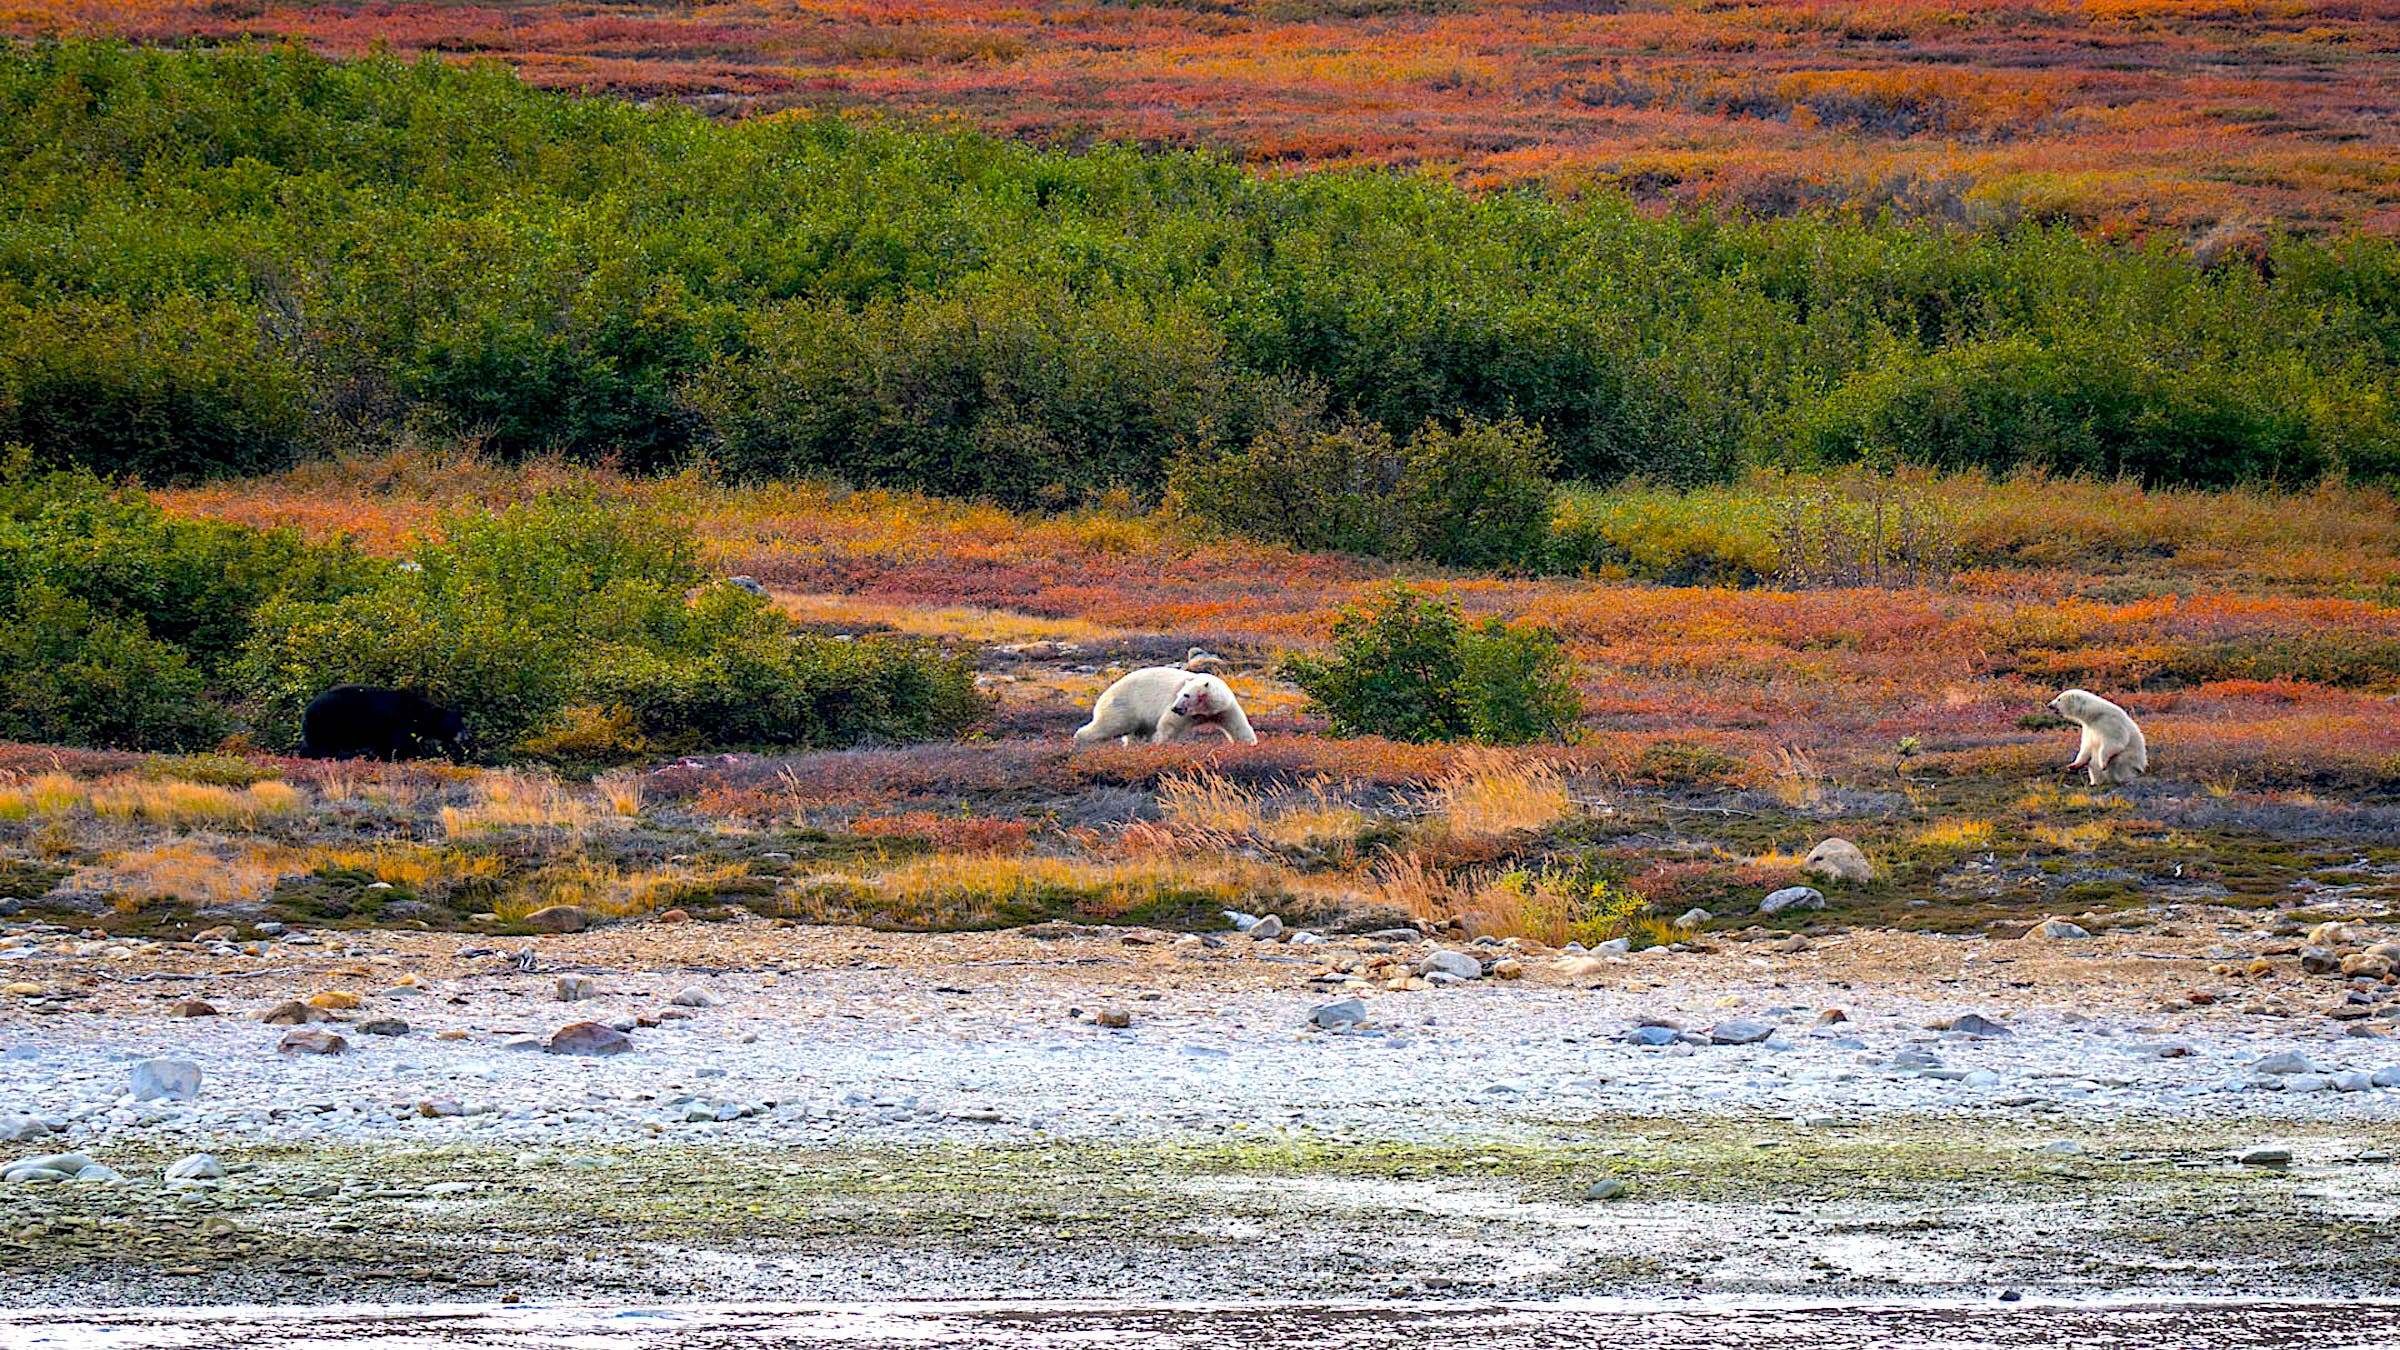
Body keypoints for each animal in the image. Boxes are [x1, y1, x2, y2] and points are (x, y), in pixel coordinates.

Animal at [300, 685, 467, 762]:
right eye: (455, 724)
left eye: (461, 723)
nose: (465, 737)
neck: (419, 715)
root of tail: (308, 708)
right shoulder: (399, 726)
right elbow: (400, 747)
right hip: (327, 724)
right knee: (320, 747)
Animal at [1074, 668, 1257, 747]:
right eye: (1179, 694)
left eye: (1186, 695)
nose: (1175, 708)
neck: (1205, 710)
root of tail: (1104, 694)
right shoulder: (1183, 713)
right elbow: (1169, 724)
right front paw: (1159, 742)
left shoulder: (1224, 708)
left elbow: (1238, 725)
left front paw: (1249, 743)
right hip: (1123, 705)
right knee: (1109, 724)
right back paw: (1080, 739)